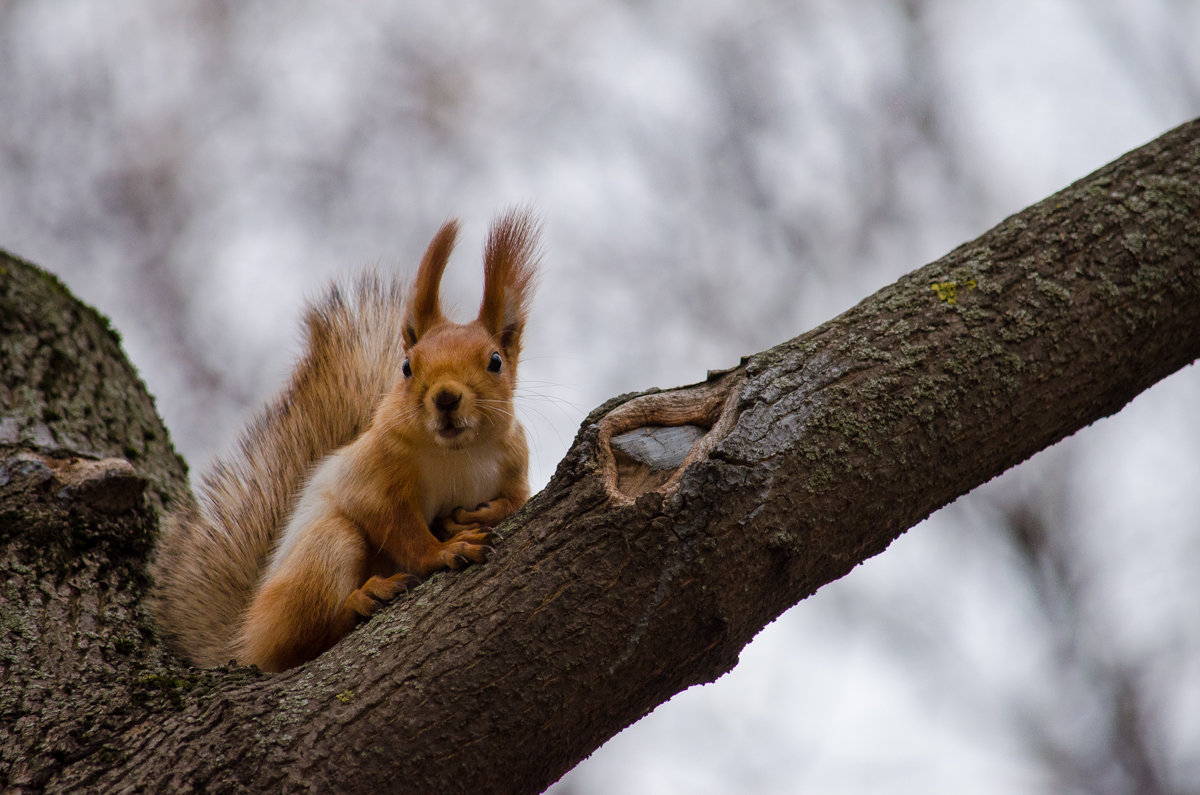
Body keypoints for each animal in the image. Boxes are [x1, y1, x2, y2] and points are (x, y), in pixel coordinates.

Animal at [150, 210, 540, 672]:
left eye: (495, 361)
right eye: (406, 366)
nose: (445, 397)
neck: (457, 453)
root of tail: (243, 642)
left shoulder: (515, 461)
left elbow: (516, 499)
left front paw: (476, 517)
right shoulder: (374, 472)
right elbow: (397, 527)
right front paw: (444, 551)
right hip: (326, 551)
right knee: (299, 644)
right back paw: (359, 602)